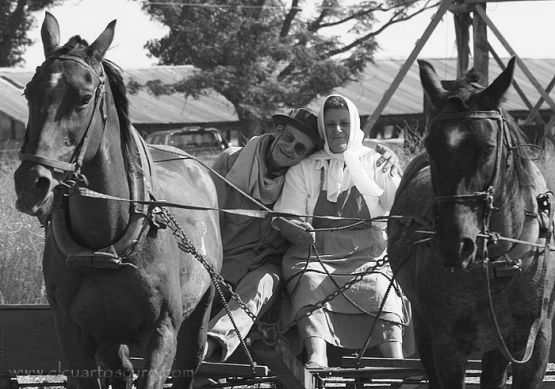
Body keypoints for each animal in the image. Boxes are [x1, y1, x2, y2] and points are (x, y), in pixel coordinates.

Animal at [13, 12, 222, 388]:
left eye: (84, 98)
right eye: (28, 91)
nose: (31, 184)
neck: (103, 241)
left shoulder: (161, 334)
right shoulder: (73, 336)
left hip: (201, 311)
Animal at [388, 57, 555, 388]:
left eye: (488, 147)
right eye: (430, 145)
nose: (455, 245)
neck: (495, 263)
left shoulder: (534, 343)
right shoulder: (447, 344)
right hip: (425, 328)